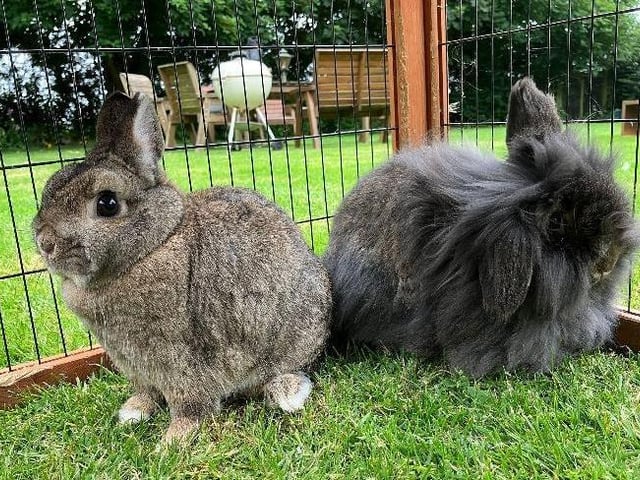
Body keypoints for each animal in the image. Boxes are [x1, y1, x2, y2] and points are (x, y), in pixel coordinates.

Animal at [32, 92, 332, 443]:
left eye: (107, 203)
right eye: (49, 188)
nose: (44, 242)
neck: (155, 244)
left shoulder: (181, 360)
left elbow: (190, 403)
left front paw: (172, 441)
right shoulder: (134, 365)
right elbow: (146, 391)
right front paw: (133, 412)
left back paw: (287, 393)